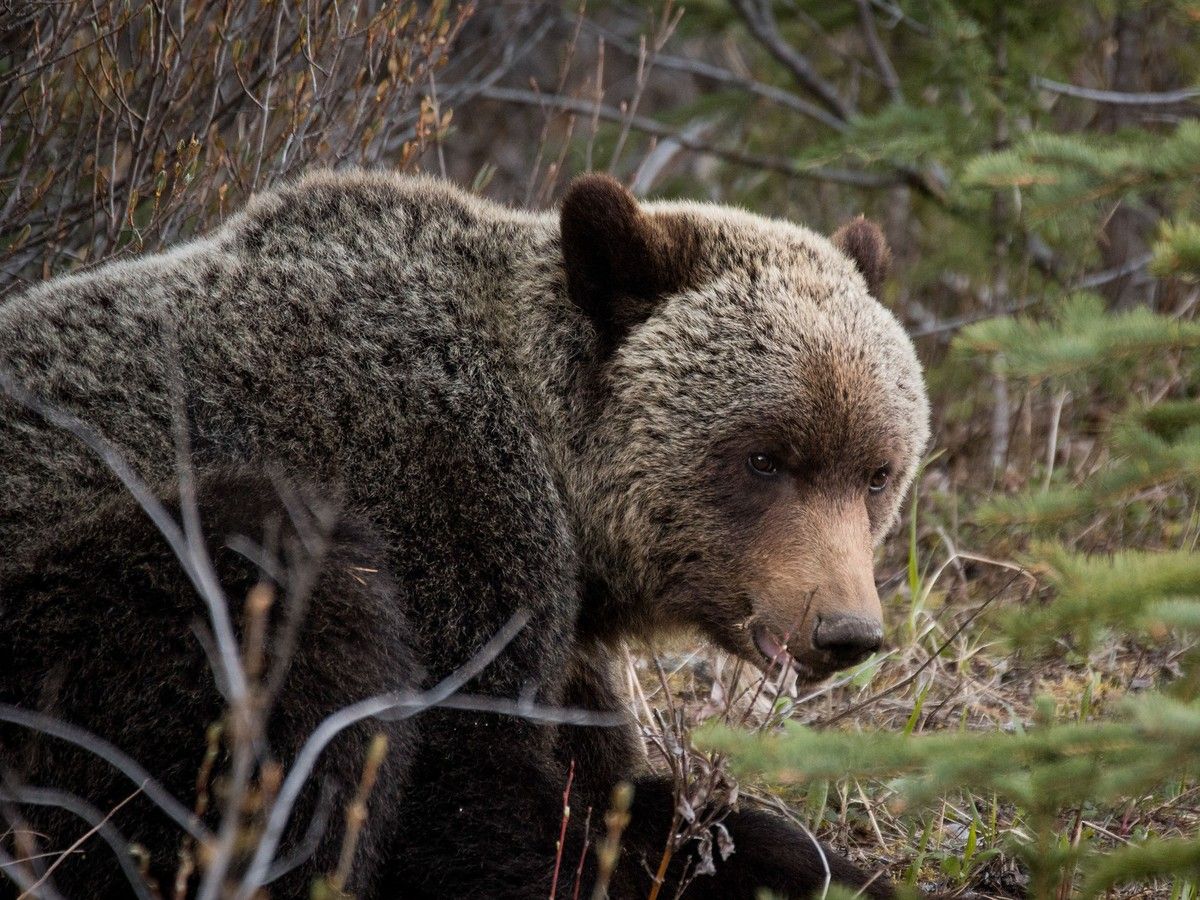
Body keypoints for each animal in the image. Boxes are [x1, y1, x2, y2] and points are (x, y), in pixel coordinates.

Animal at [0, 170, 930, 898]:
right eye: (765, 458)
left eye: (877, 471)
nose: (844, 629)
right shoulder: (450, 511)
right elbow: (460, 795)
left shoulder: (566, 647)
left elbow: (628, 800)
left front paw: (821, 865)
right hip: (86, 616)